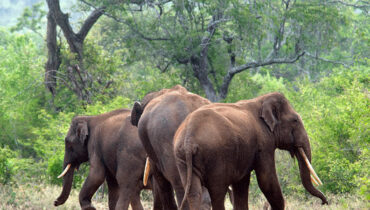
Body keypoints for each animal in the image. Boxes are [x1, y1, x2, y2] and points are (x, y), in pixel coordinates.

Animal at [175, 92, 328, 210]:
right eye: (295, 120)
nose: (324, 202)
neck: (261, 100)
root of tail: (188, 139)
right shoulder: (264, 143)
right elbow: (266, 179)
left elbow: (242, 183)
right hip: (215, 157)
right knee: (217, 192)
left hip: (182, 160)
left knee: (194, 193)